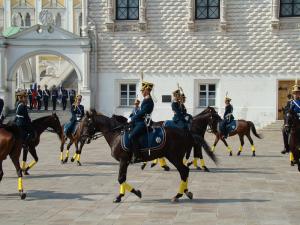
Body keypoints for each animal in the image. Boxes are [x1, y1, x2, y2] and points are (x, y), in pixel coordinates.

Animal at [81, 110, 218, 203]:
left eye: (87, 124)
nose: (83, 137)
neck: (117, 134)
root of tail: (186, 132)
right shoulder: (124, 162)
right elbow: (122, 179)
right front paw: (127, 194)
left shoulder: (123, 160)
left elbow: (120, 178)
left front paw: (128, 194)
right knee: (185, 171)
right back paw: (186, 192)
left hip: (174, 157)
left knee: (184, 171)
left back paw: (178, 195)